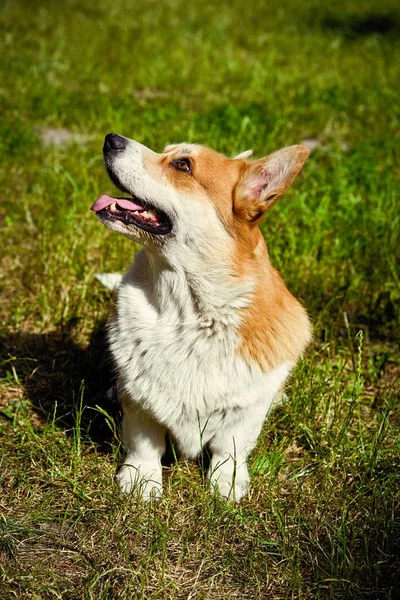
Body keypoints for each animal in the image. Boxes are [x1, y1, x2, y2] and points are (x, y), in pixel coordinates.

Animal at [92, 132, 310, 502]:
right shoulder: (140, 405)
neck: (188, 311)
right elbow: (144, 441)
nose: (110, 138)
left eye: (183, 165)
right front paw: (142, 480)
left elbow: (230, 445)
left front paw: (227, 483)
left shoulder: (244, 414)